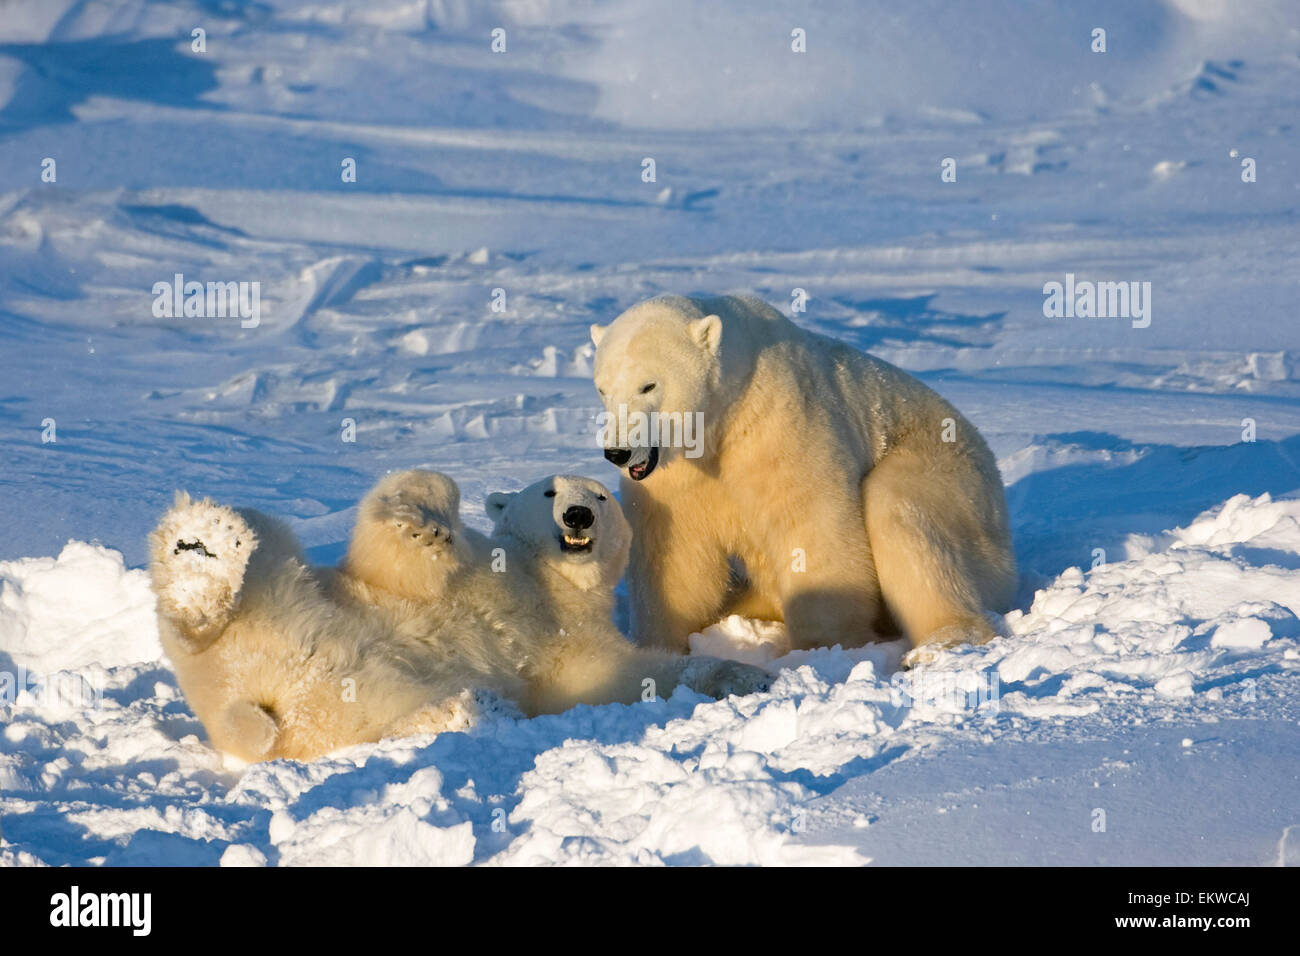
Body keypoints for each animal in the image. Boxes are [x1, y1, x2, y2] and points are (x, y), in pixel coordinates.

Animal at [589, 293, 1017, 663]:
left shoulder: (778, 420)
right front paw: (661, 646)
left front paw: (822, 647)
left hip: (956, 480)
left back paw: (942, 641)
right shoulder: (676, 475)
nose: (617, 452)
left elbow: (807, 520)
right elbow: (673, 548)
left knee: (898, 506)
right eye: (602, 389)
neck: (721, 418)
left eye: (648, 384)